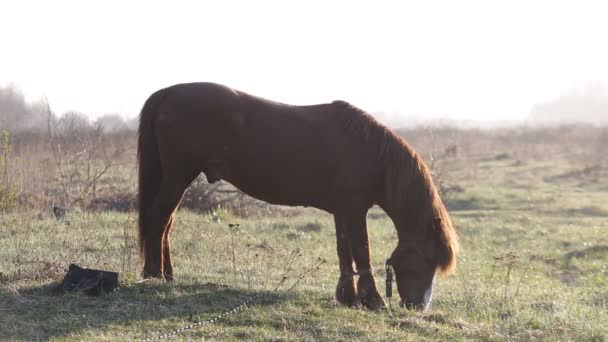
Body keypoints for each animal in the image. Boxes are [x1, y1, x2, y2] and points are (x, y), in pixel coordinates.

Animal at [138, 83, 458, 310]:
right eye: (428, 258)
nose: (418, 307)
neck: (370, 151)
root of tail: (167, 93)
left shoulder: (342, 211)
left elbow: (344, 252)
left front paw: (348, 297)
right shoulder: (355, 210)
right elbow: (361, 250)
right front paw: (373, 300)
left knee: (166, 223)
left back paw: (168, 276)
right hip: (178, 177)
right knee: (159, 219)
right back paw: (154, 274)